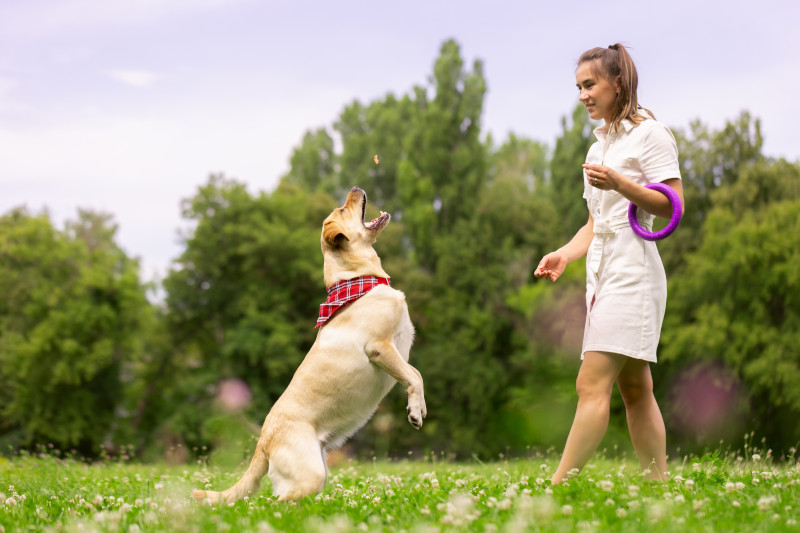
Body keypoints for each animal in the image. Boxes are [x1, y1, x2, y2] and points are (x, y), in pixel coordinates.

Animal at [191, 186, 428, 502]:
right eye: (342, 210)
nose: (355, 188)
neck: (358, 281)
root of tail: (262, 443)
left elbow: (416, 373)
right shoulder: (380, 347)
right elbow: (414, 376)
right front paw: (415, 412)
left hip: (318, 467)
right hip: (310, 472)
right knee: (274, 502)